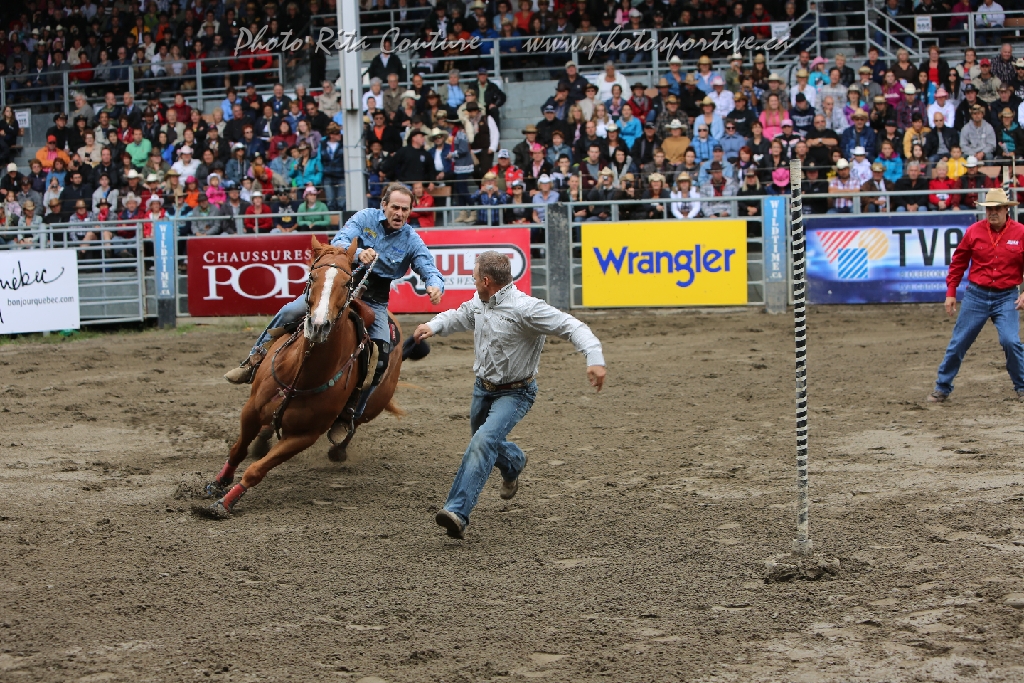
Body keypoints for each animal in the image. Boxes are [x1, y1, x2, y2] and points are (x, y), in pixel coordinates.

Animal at [198, 236, 415, 518]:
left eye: (347, 283)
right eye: (312, 276)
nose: (319, 325)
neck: (302, 372)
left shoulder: (304, 436)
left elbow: (257, 470)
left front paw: (224, 503)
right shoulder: (251, 409)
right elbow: (238, 450)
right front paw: (217, 483)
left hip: (372, 405)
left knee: (354, 422)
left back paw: (339, 447)